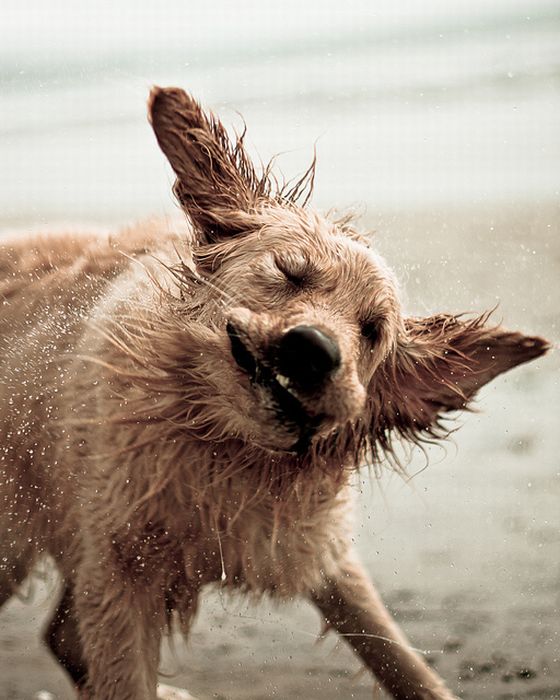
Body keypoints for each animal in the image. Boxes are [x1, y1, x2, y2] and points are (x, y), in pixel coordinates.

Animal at [0, 89, 552, 700]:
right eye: (289, 272)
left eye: (372, 330)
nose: (312, 349)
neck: (226, 451)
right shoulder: (121, 566)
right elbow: (123, 672)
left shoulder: (310, 545)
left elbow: (398, 656)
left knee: (61, 636)